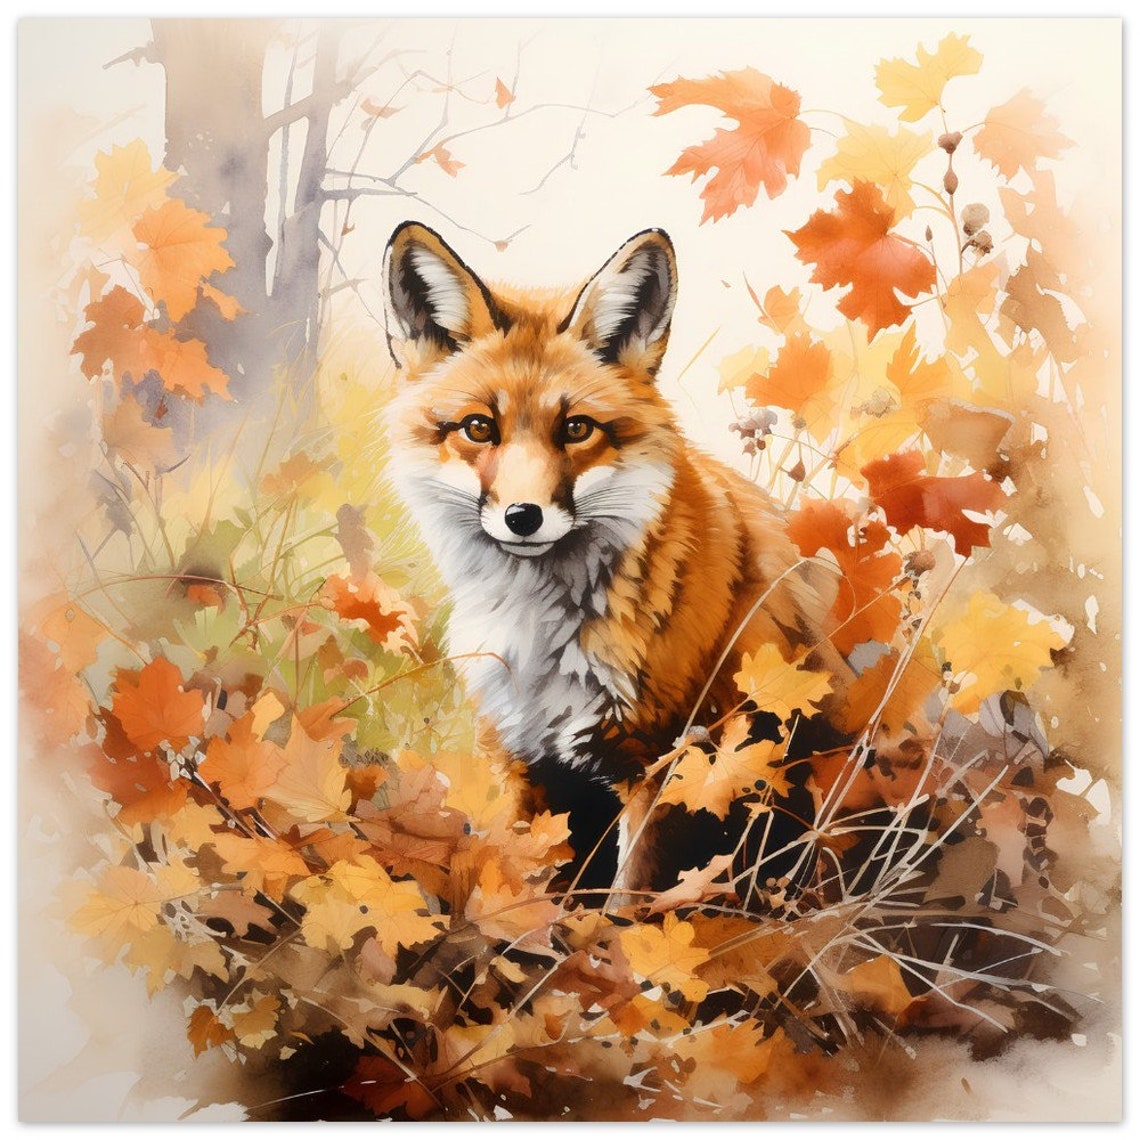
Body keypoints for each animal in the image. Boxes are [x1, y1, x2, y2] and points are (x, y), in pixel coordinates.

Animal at [381, 220, 847, 897]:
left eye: (576, 429)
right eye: (478, 428)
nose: (523, 516)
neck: (542, 633)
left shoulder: (664, 764)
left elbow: (626, 903)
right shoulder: (524, 762)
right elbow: (529, 889)